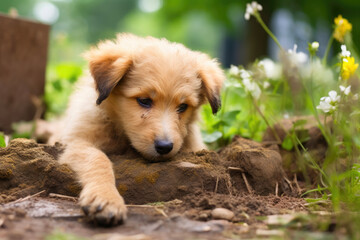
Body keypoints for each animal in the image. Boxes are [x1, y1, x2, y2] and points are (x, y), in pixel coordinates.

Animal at [58, 33, 224, 225]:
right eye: (144, 101)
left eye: (183, 107)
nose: (165, 147)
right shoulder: (76, 142)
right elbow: (98, 158)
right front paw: (106, 198)